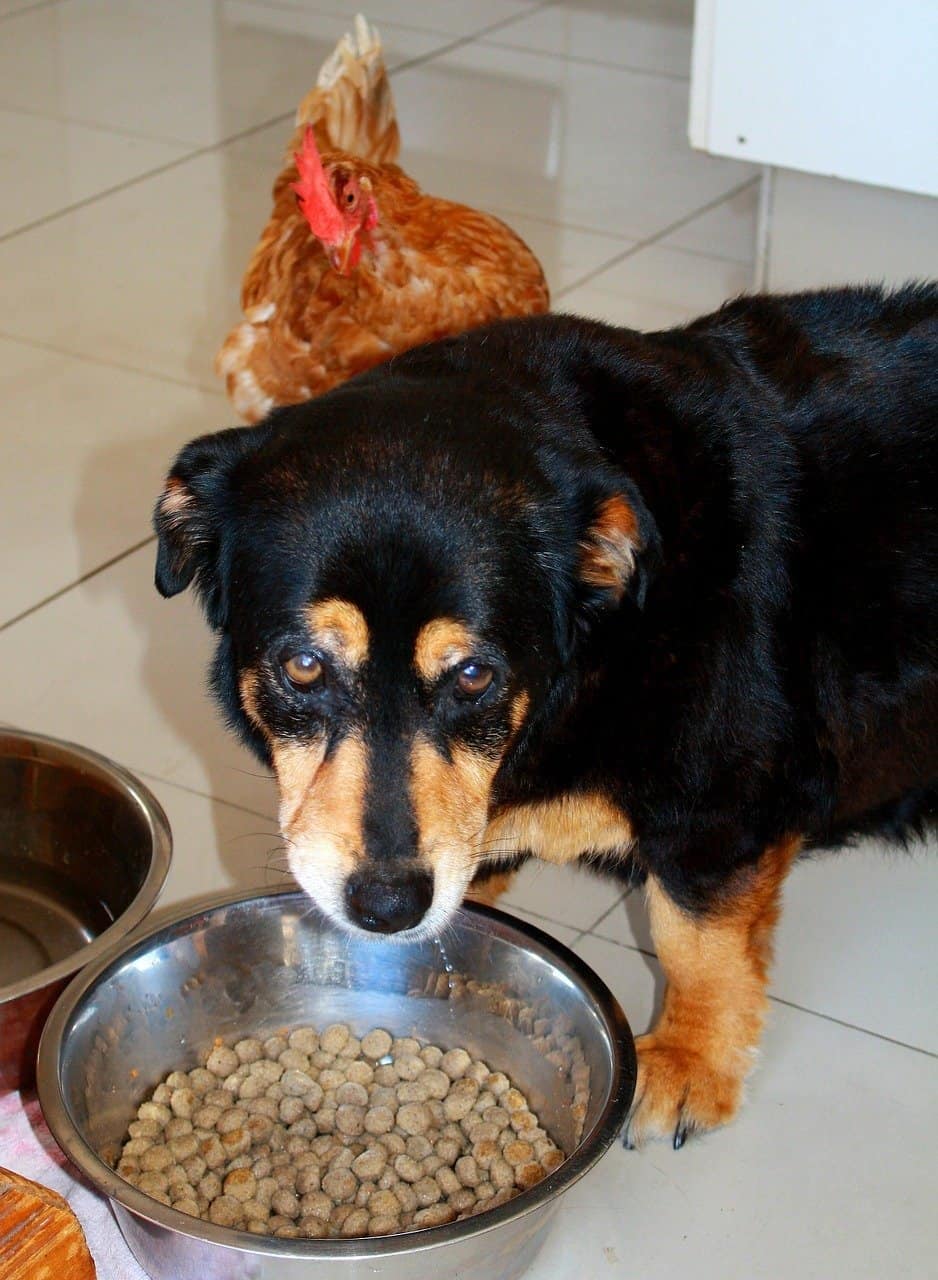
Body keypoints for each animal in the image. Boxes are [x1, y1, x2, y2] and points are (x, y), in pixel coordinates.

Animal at [155, 285, 936, 1146]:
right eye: (303, 666)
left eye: (473, 675)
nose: (388, 907)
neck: (597, 651)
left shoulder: (718, 811)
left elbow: (696, 942)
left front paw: (692, 1062)